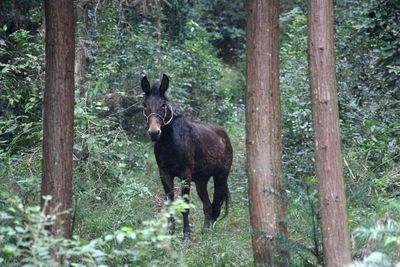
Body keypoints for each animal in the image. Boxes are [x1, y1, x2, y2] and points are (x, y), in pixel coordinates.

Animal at [141, 74, 233, 240]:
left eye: (163, 105)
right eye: (145, 105)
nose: (154, 132)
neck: (170, 142)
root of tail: (224, 136)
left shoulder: (185, 175)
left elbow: (184, 206)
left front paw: (186, 234)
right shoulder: (164, 173)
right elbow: (170, 203)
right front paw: (170, 232)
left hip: (221, 176)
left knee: (216, 204)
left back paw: (210, 231)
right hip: (201, 181)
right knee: (207, 205)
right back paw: (205, 230)